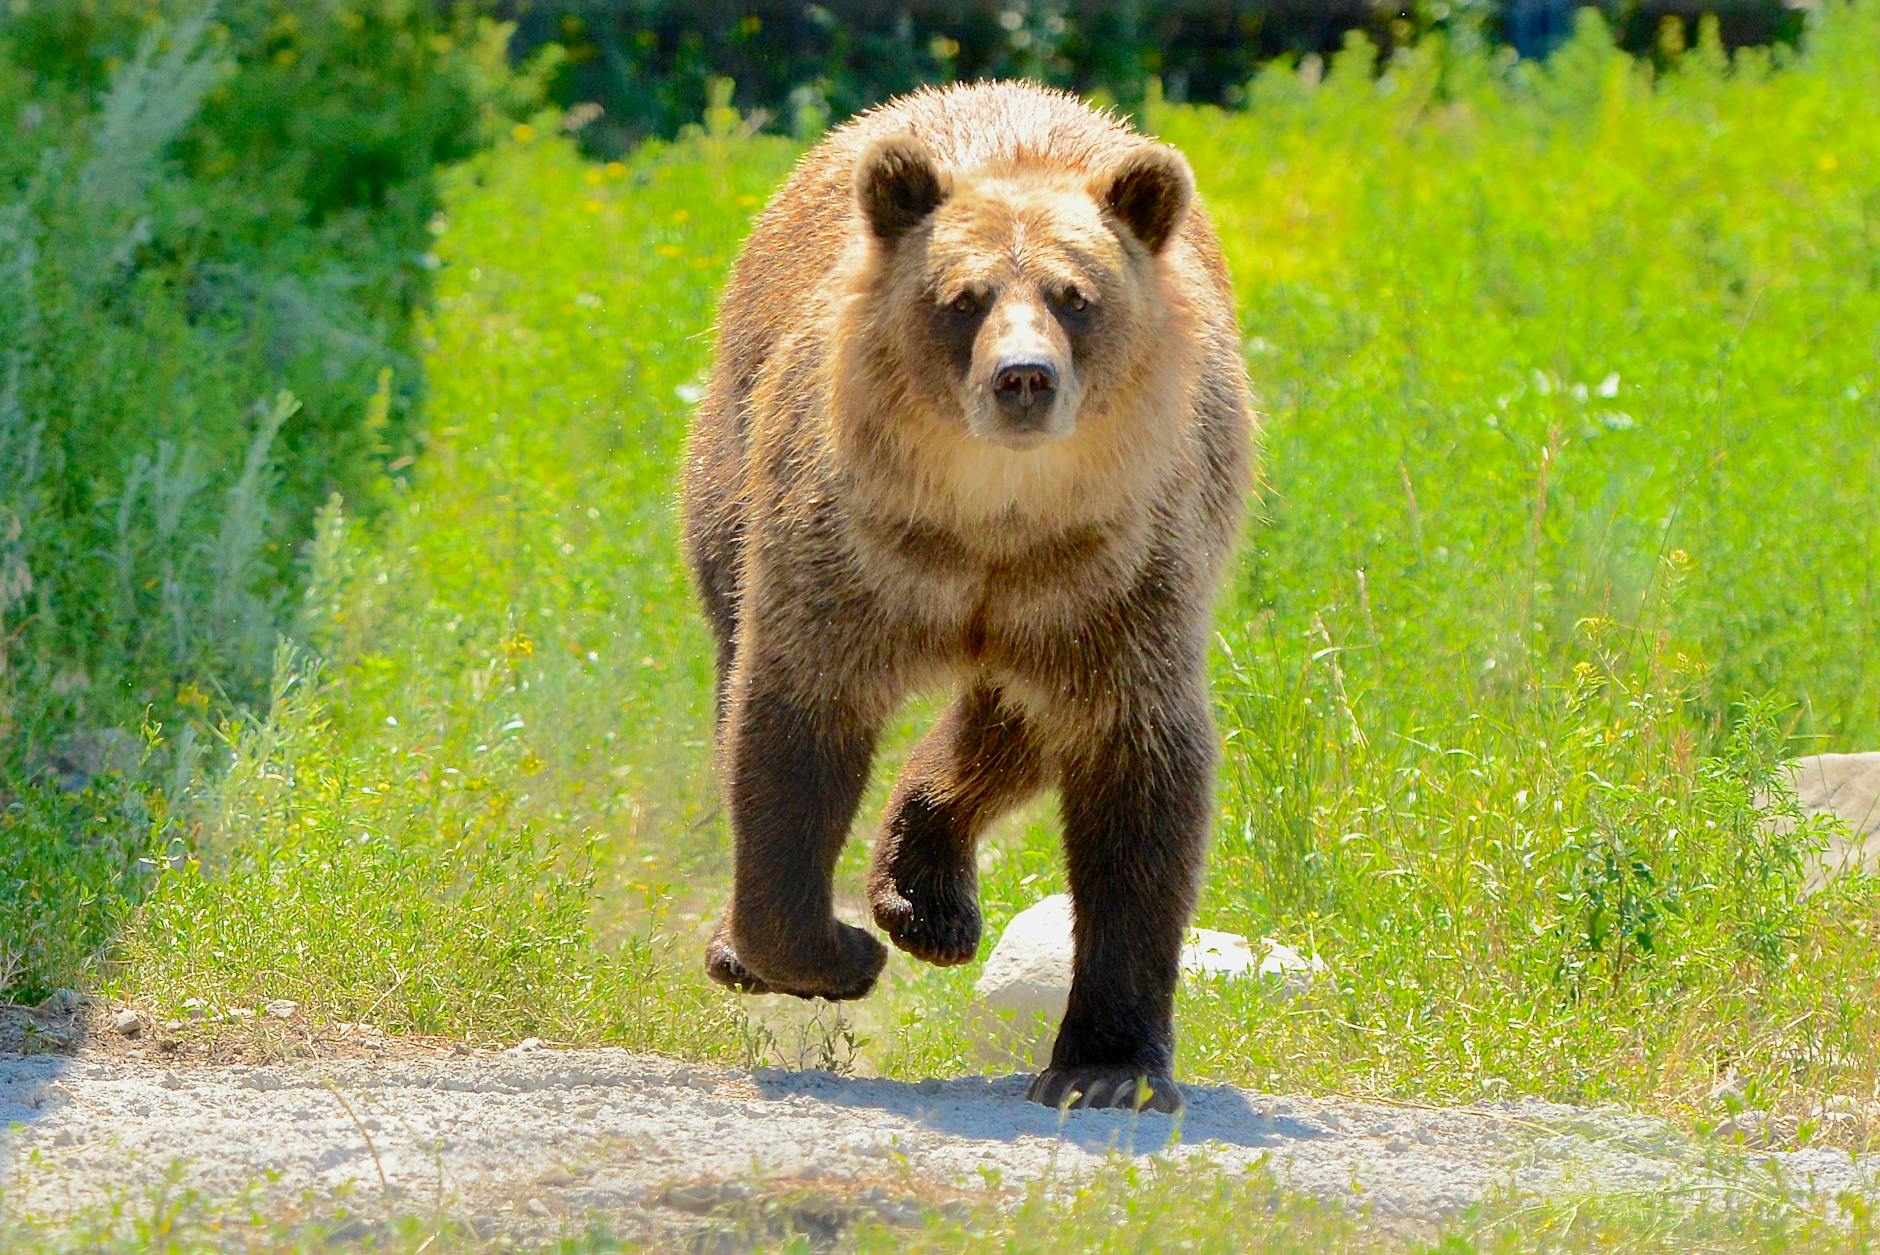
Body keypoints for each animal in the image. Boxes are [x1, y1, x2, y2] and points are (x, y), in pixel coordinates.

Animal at [680, 81, 1255, 1113]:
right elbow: (789, 729)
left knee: (1014, 723)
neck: (990, 515)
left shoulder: (1119, 574)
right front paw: (831, 953)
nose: (1023, 376)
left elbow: (1138, 773)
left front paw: (1105, 1064)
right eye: (963, 297)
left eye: (1076, 295)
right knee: (736, 655)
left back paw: (926, 894)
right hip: (733, 460)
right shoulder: (847, 550)